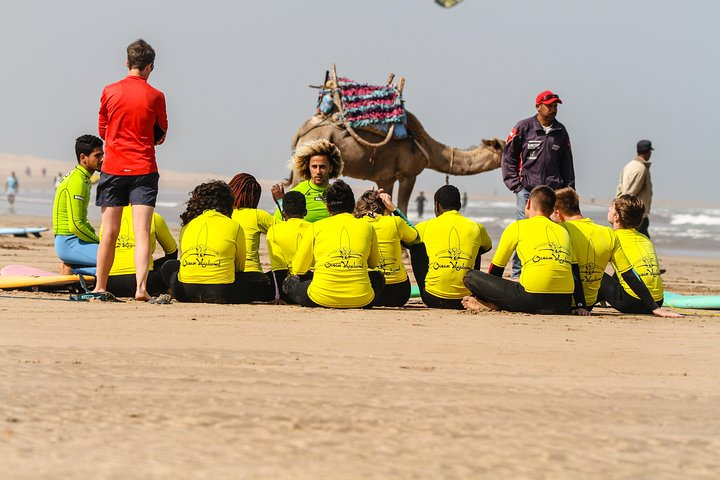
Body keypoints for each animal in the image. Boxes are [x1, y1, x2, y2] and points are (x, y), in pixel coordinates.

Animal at [290, 111, 504, 215]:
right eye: (502, 147)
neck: (427, 147)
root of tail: (302, 131)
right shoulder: (408, 174)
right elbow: (403, 205)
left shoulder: (386, 178)